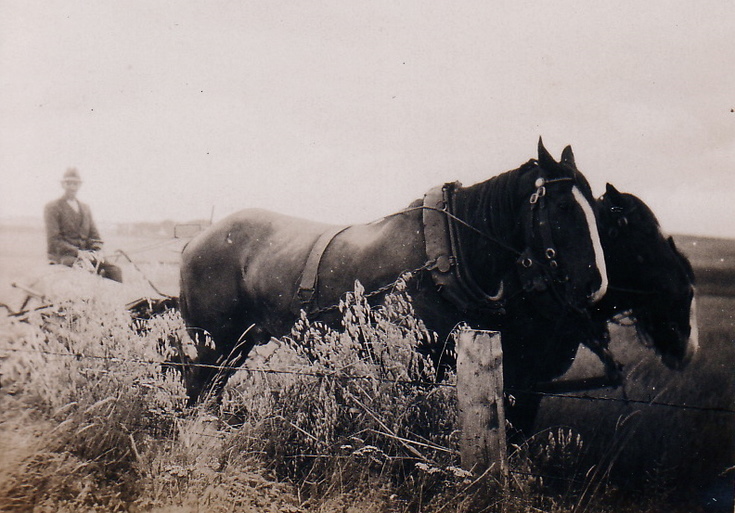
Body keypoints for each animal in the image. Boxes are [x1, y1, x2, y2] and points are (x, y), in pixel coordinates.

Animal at [180, 141, 608, 404]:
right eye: (564, 207)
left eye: (596, 205)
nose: (595, 283)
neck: (445, 254)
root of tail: (195, 241)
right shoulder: (413, 364)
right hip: (214, 344)